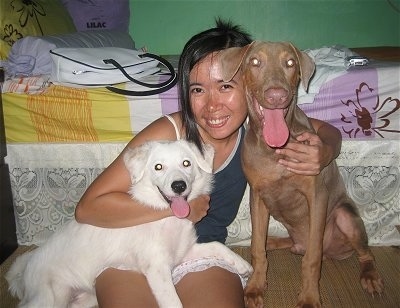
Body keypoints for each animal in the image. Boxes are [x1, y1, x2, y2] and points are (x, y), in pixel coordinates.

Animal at [6, 141, 252, 308]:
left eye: (186, 163)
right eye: (158, 167)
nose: (179, 186)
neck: (167, 219)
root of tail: (27, 265)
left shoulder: (182, 254)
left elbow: (216, 246)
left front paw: (242, 265)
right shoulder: (157, 270)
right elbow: (174, 303)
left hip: (83, 298)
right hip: (49, 298)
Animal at [219, 41, 384, 308]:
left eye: (290, 63)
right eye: (254, 62)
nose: (277, 95)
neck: (276, 149)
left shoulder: (316, 196)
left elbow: (312, 259)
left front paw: (308, 297)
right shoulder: (257, 196)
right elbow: (257, 248)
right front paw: (255, 286)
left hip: (345, 216)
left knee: (362, 252)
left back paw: (370, 276)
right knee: (277, 243)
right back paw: (273, 243)